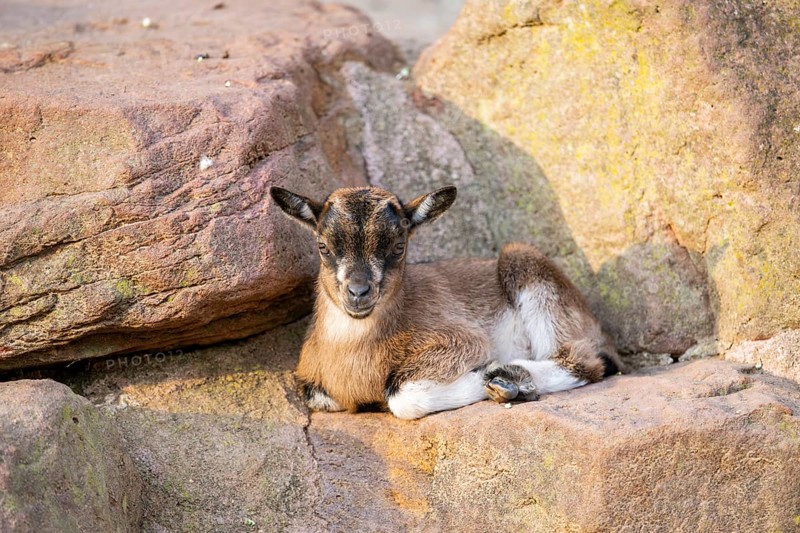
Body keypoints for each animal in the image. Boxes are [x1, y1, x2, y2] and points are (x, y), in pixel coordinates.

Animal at [270, 185, 625, 419]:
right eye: (323, 246)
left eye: (399, 246)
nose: (358, 292)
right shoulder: (315, 387)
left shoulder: (463, 340)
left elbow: (401, 396)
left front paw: (488, 374)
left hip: (529, 270)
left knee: (584, 361)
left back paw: (508, 376)